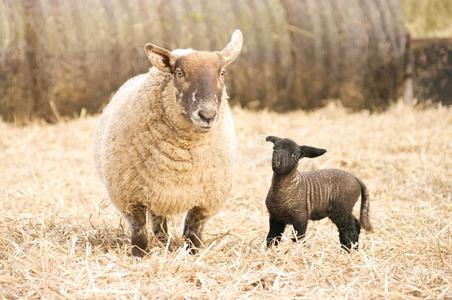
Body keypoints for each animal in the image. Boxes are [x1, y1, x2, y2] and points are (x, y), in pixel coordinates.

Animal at [92, 29, 244, 255]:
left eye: (222, 73)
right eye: (179, 73)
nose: (207, 115)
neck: (183, 158)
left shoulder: (205, 200)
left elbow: (193, 232)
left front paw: (194, 253)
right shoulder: (130, 197)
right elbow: (139, 232)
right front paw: (139, 255)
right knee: (157, 222)